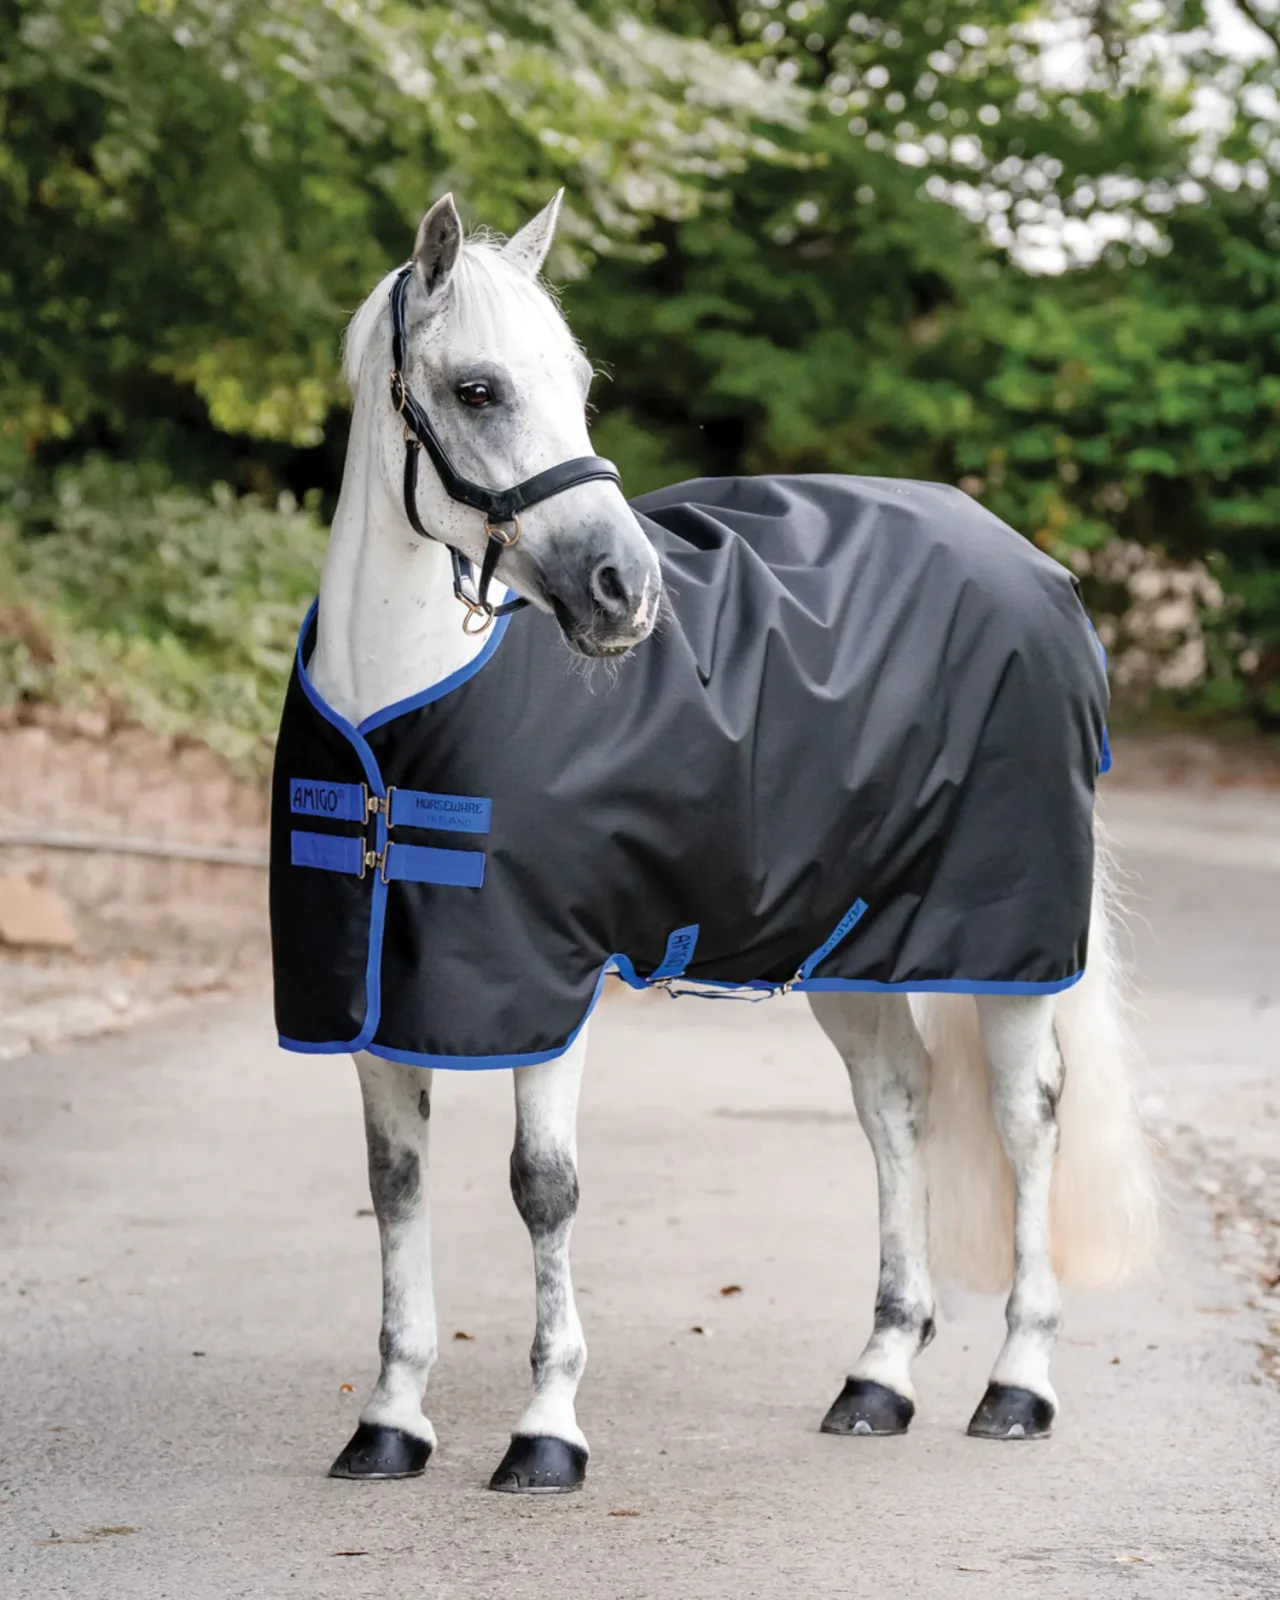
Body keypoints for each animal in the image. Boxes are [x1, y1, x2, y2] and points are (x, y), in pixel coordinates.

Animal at [272, 191, 1158, 1494]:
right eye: (478, 388)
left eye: (579, 381)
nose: (624, 590)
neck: (398, 721)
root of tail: (1036, 569)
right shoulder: (379, 997)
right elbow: (396, 1189)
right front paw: (389, 1421)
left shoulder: (551, 984)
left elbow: (542, 1188)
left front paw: (546, 1429)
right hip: (850, 947)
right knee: (895, 1106)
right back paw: (877, 1377)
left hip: (1006, 946)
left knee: (1023, 1117)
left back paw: (1016, 1383)